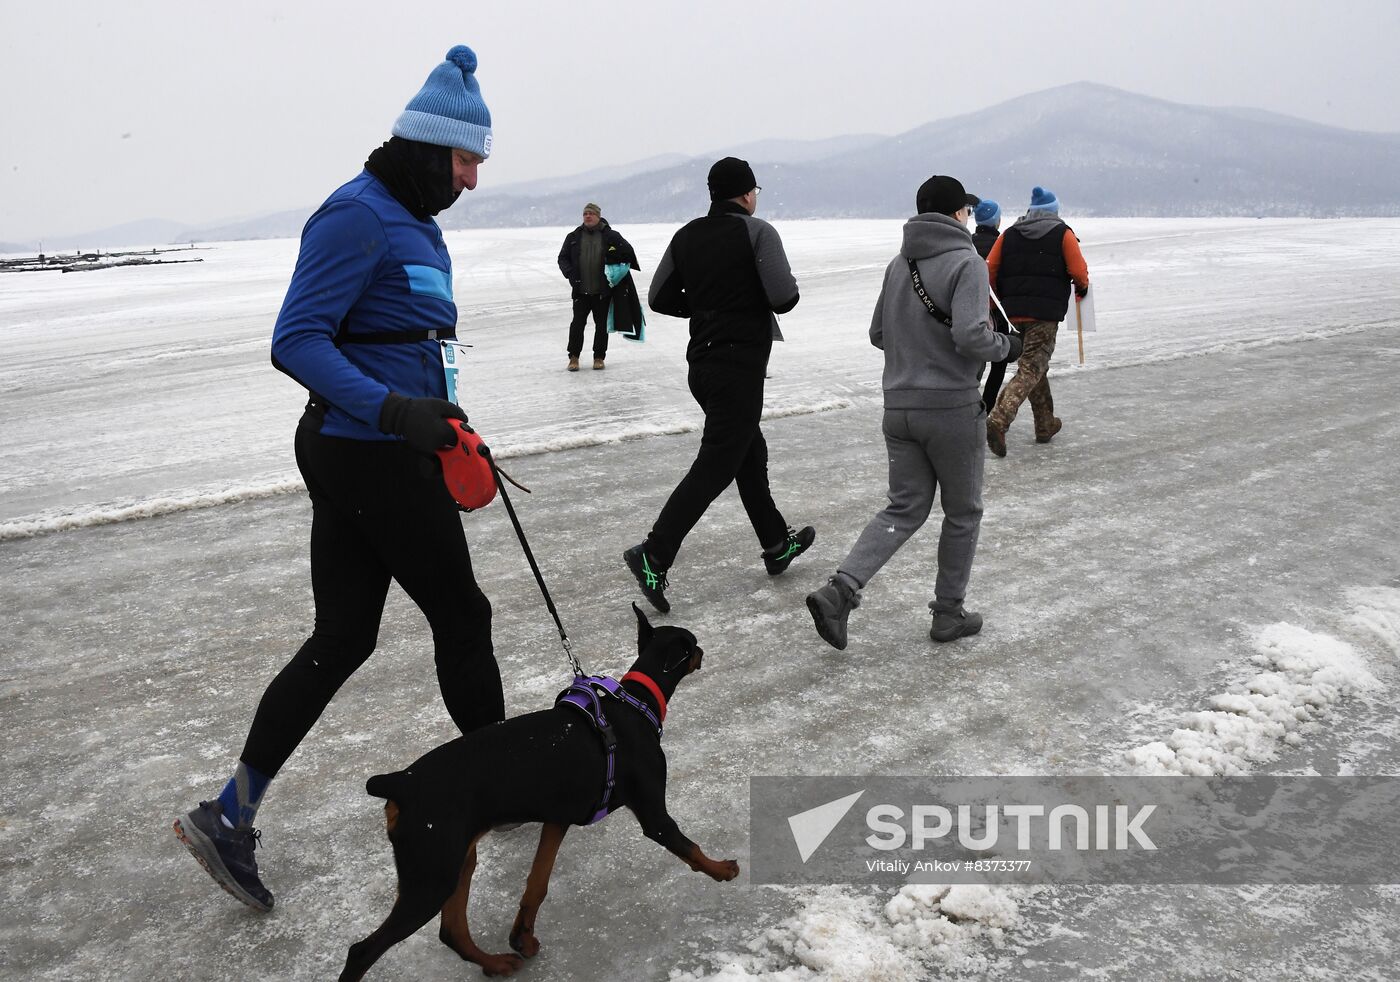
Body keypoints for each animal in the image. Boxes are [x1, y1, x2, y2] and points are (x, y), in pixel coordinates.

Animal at [337, 602, 739, 974]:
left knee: (451, 930)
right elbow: (689, 847)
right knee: (363, 951)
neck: (636, 701)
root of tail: (400, 781)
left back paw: (496, 963)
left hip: (455, 861)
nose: (703, 651)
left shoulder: (557, 819)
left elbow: (537, 883)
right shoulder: (653, 813)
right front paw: (722, 869)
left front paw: (522, 937)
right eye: (693, 644)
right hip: (431, 875)